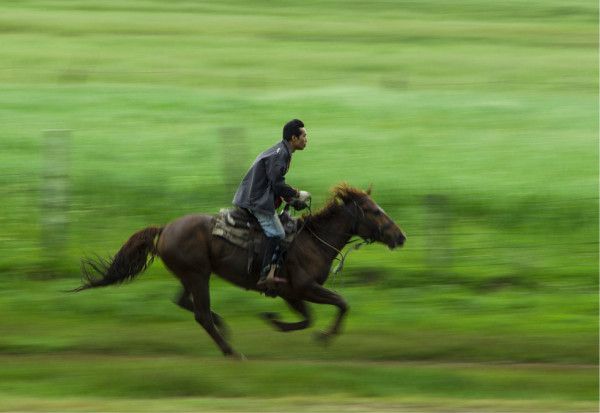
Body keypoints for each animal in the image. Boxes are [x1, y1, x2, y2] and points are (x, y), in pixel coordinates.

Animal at [72, 183, 406, 358]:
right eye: (374, 211)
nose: (400, 237)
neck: (312, 241)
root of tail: (165, 228)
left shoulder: (290, 293)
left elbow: (307, 318)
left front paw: (275, 321)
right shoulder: (303, 287)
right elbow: (340, 303)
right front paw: (322, 337)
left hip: (193, 275)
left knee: (183, 302)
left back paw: (225, 327)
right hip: (197, 276)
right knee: (201, 315)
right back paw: (231, 349)